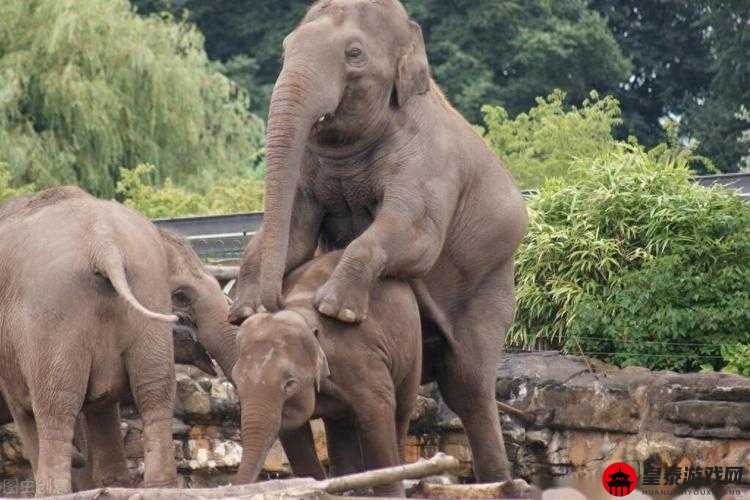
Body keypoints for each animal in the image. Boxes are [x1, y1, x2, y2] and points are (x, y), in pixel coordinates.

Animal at [235, 250, 424, 496]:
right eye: (236, 384)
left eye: (290, 384)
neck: (300, 313)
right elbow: (292, 432)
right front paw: (313, 485)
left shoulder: (360, 363)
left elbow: (377, 411)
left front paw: (391, 494)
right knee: (340, 424)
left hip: (413, 350)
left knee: (401, 410)